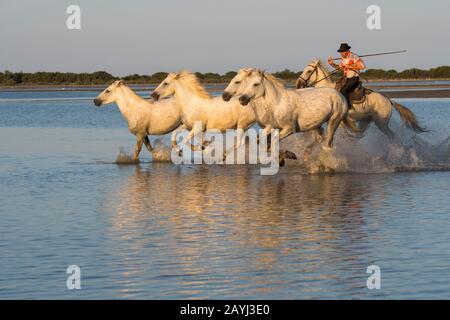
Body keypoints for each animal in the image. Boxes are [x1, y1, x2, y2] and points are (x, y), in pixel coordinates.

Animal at [296, 59, 426, 138]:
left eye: (308, 71)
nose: (298, 84)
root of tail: (389, 101)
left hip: (382, 124)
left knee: (391, 136)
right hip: (367, 120)